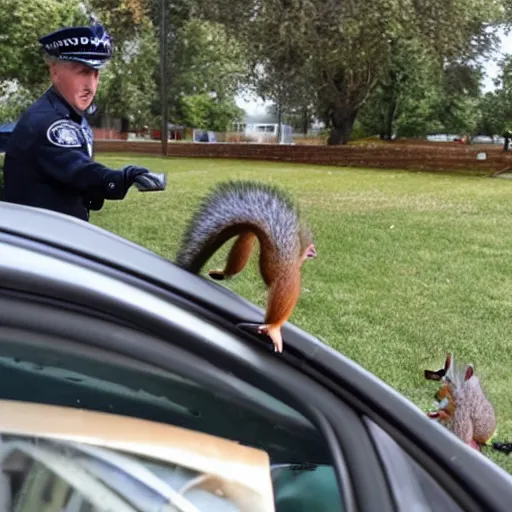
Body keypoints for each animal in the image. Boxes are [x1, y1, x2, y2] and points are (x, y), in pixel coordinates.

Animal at [174, 179, 316, 352]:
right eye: (311, 251)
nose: (314, 254)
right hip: (285, 275)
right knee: (284, 291)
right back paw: (273, 328)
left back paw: (221, 273)